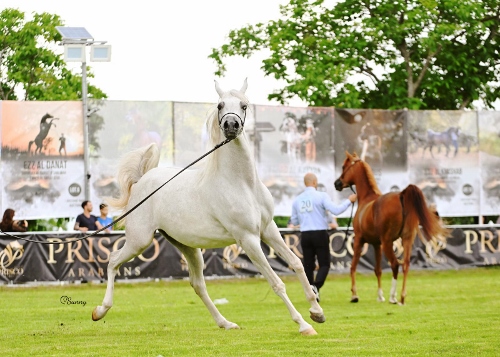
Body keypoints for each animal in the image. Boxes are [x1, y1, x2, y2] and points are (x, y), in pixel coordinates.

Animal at [92, 78, 326, 334]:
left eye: (244, 105)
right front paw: (304, 324)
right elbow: (276, 282)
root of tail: (141, 181)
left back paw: (226, 323)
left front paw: (317, 312)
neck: (242, 183)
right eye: (220, 105)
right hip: (139, 240)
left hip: (187, 247)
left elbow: (296, 263)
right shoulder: (248, 239)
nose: (231, 125)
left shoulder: (268, 229)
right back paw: (100, 310)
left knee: (197, 284)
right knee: (113, 260)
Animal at [334, 152, 448, 304]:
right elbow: (378, 270)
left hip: (387, 242)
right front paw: (380, 296)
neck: (367, 198)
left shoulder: (359, 239)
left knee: (395, 264)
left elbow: (353, 267)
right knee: (405, 265)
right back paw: (402, 297)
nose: (337, 183)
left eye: (344, 166)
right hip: (406, 240)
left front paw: (354, 295)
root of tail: (401, 196)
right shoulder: (376, 244)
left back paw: (393, 297)